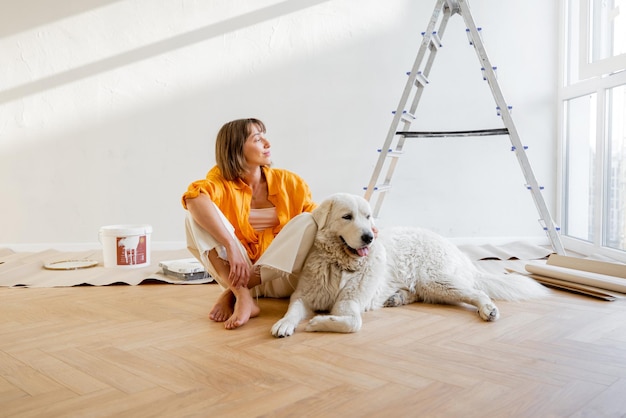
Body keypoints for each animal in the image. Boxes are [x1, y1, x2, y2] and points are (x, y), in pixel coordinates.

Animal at [268, 194, 544, 338]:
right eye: (347, 217)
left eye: (367, 217)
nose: (369, 236)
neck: (340, 263)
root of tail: (456, 249)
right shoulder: (304, 296)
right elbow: (292, 310)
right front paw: (284, 324)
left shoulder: (349, 303)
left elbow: (352, 323)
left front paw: (318, 323)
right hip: (432, 287)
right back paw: (396, 298)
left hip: (437, 281)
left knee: (478, 292)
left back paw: (489, 310)